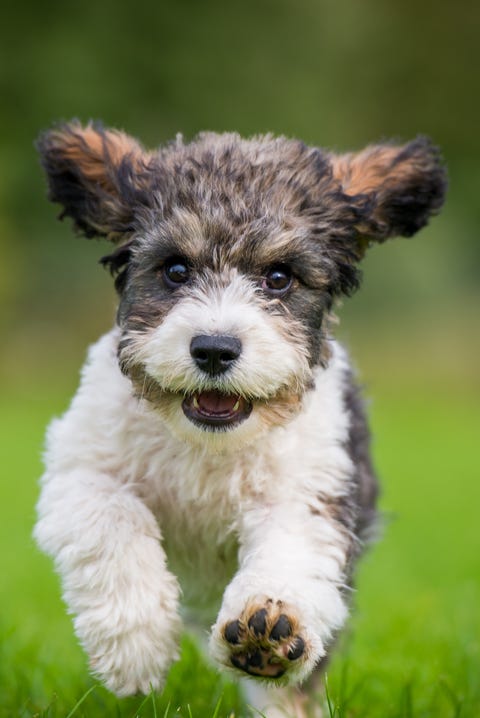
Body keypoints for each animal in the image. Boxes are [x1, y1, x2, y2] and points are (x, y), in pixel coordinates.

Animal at [33, 124, 446, 718]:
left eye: (279, 277)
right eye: (175, 269)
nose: (213, 348)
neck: (209, 446)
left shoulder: (310, 493)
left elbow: (289, 554)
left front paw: (268, 627)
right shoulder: (82, 467)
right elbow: (112, 518)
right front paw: (136, 649)